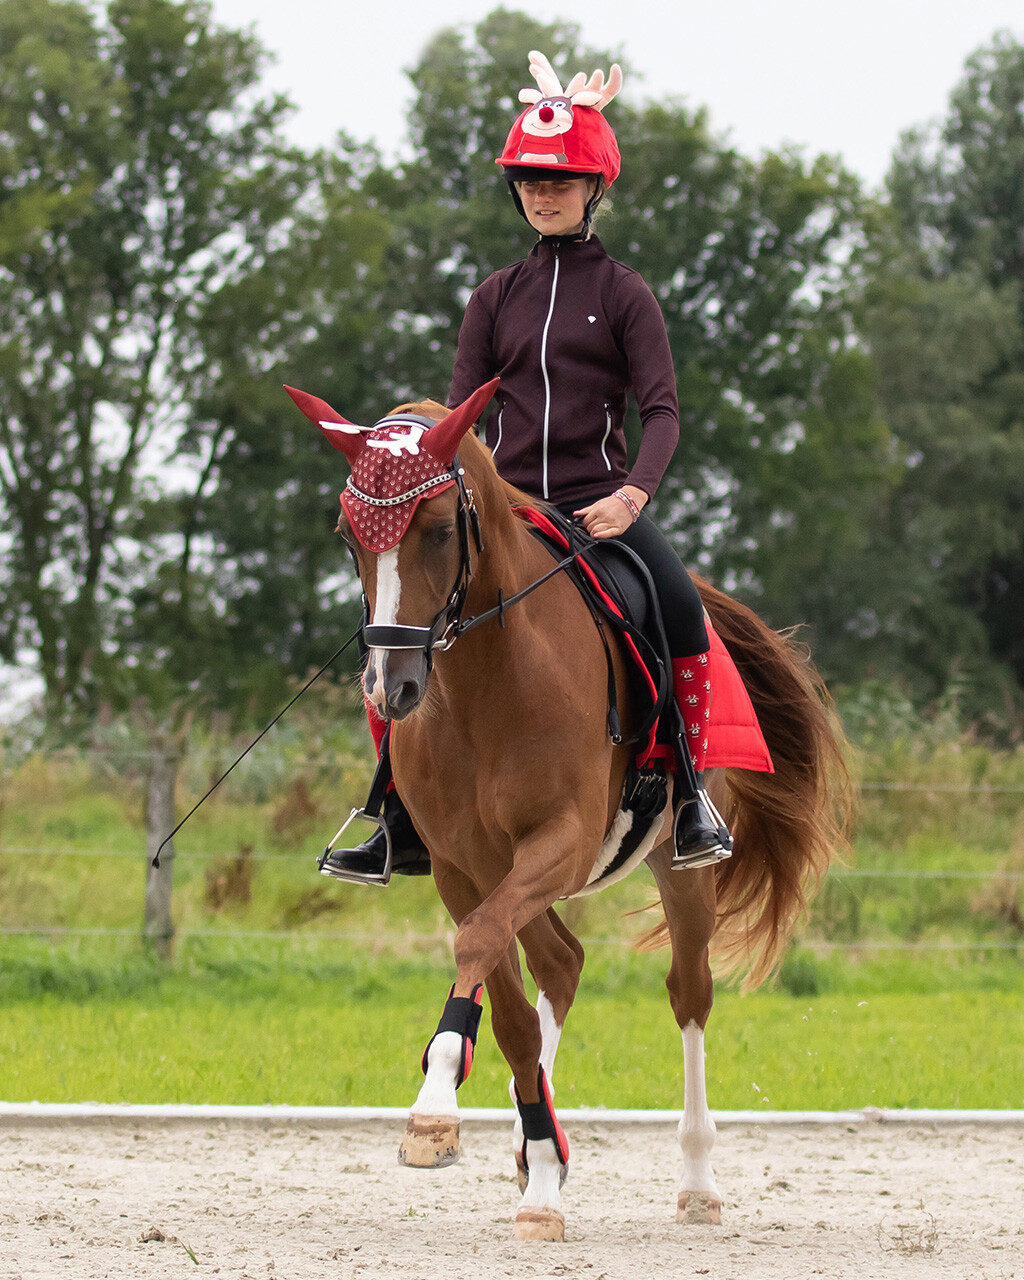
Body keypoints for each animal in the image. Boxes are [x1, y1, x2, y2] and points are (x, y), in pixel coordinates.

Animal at [284, 376, 849, 1239]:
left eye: (440, 530)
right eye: (350, 536)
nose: (391, 688)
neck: (487, 680)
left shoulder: (562, 839)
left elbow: (484, 948)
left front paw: (440, 1106)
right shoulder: (462, 866)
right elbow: (506, 998)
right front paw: (513, 1151)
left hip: (679, 868)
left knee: (688, 994)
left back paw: (696, 1181)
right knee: (563, 962)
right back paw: (533, 1151)